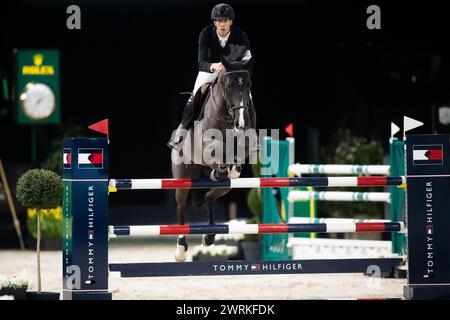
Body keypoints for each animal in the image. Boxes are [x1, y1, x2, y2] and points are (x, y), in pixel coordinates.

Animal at [171, 48, 256, 262]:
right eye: (229, 85)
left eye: (248, 84)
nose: (241, 123)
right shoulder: (207, 143)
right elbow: (219, 148)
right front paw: (224, 167)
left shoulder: (247, 140)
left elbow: (238, 153)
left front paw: (232, 168)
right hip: (182, 177)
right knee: (181, 207)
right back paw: (181, 249)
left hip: (224, 187)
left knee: (210, 197)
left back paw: (209, 236)